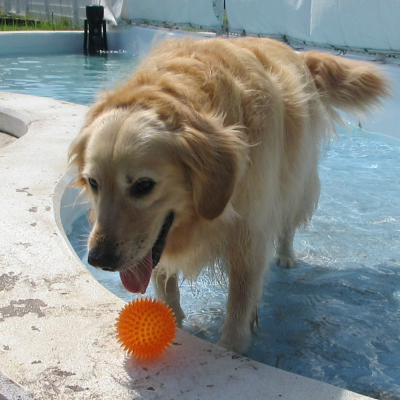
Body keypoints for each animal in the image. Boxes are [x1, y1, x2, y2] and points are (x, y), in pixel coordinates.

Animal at [69, 37, 390, 354]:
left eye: (143, 185)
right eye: (93, 182)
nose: (98, 260)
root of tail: (296, 51)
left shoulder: (251, 230)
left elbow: (240, 298)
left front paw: (231, 347)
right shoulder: (159, 242)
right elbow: (164, 281)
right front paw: (173, 321)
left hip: (295, 178)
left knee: (288, 219)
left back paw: (286, 255)